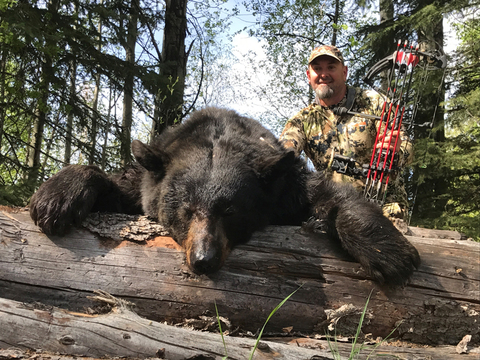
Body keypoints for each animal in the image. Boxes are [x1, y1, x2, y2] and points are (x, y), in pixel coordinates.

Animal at [30, 106, 420, 284]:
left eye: (230, 210)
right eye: (186, 209)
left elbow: (332, 195)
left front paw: (391, 254)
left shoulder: (285, 187)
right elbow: (117, 184)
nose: (203, 259)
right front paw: (53, 200)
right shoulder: (145, 184)